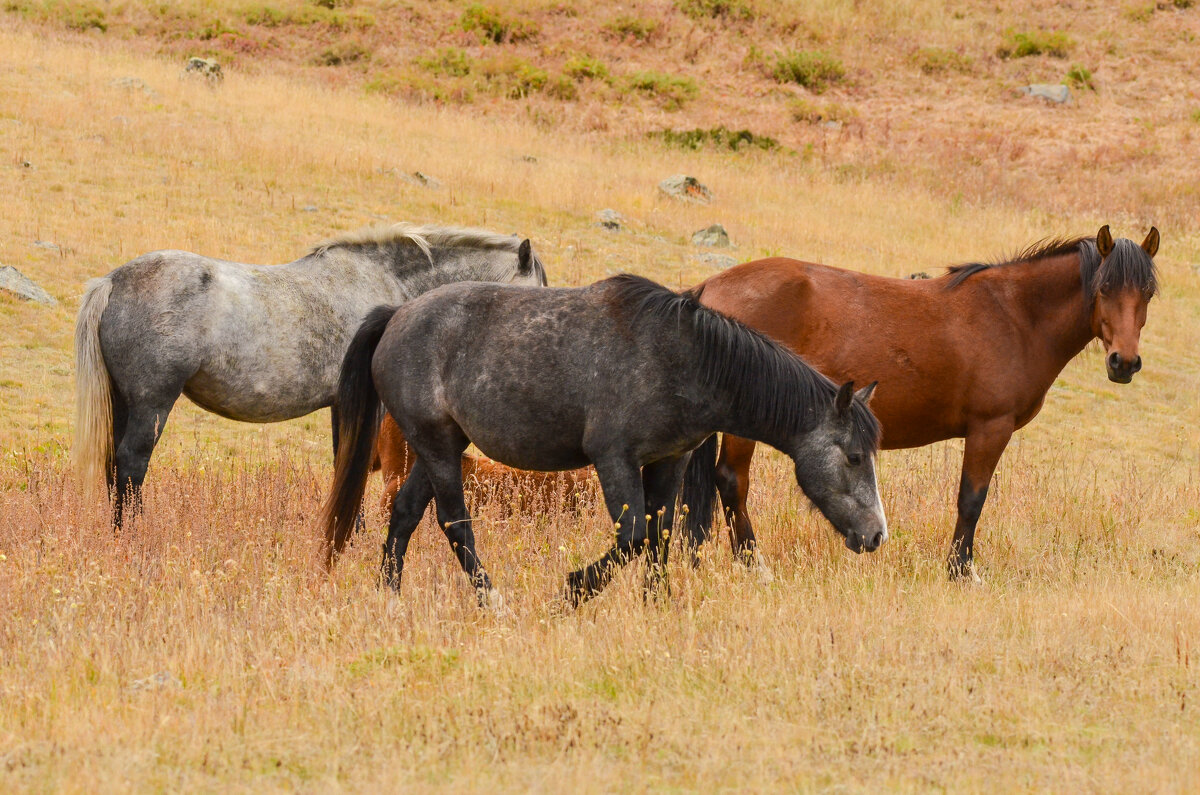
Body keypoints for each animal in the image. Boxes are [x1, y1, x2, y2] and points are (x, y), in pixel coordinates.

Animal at [324, 276, 888, 610]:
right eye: (854, 456)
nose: (877, 535)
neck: (685, 359)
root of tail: (395, 315)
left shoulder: (669, 461)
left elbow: (659, 535)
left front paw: (657, 604)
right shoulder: (614, 459)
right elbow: (633, 535)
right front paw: (573, 590)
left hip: (438, 446)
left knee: (405, 513)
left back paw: (389, 596)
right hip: (439, 448)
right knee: (453, 522)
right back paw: (492, 600)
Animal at [686, 224, 1161, 578]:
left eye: (1147, 294)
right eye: (1104, 288)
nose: (1124, 362)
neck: (1014, 315)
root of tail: (710, 288)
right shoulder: (990, 428)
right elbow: (971, 500)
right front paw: (961, 571)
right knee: (732, 480)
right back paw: (753, 564)